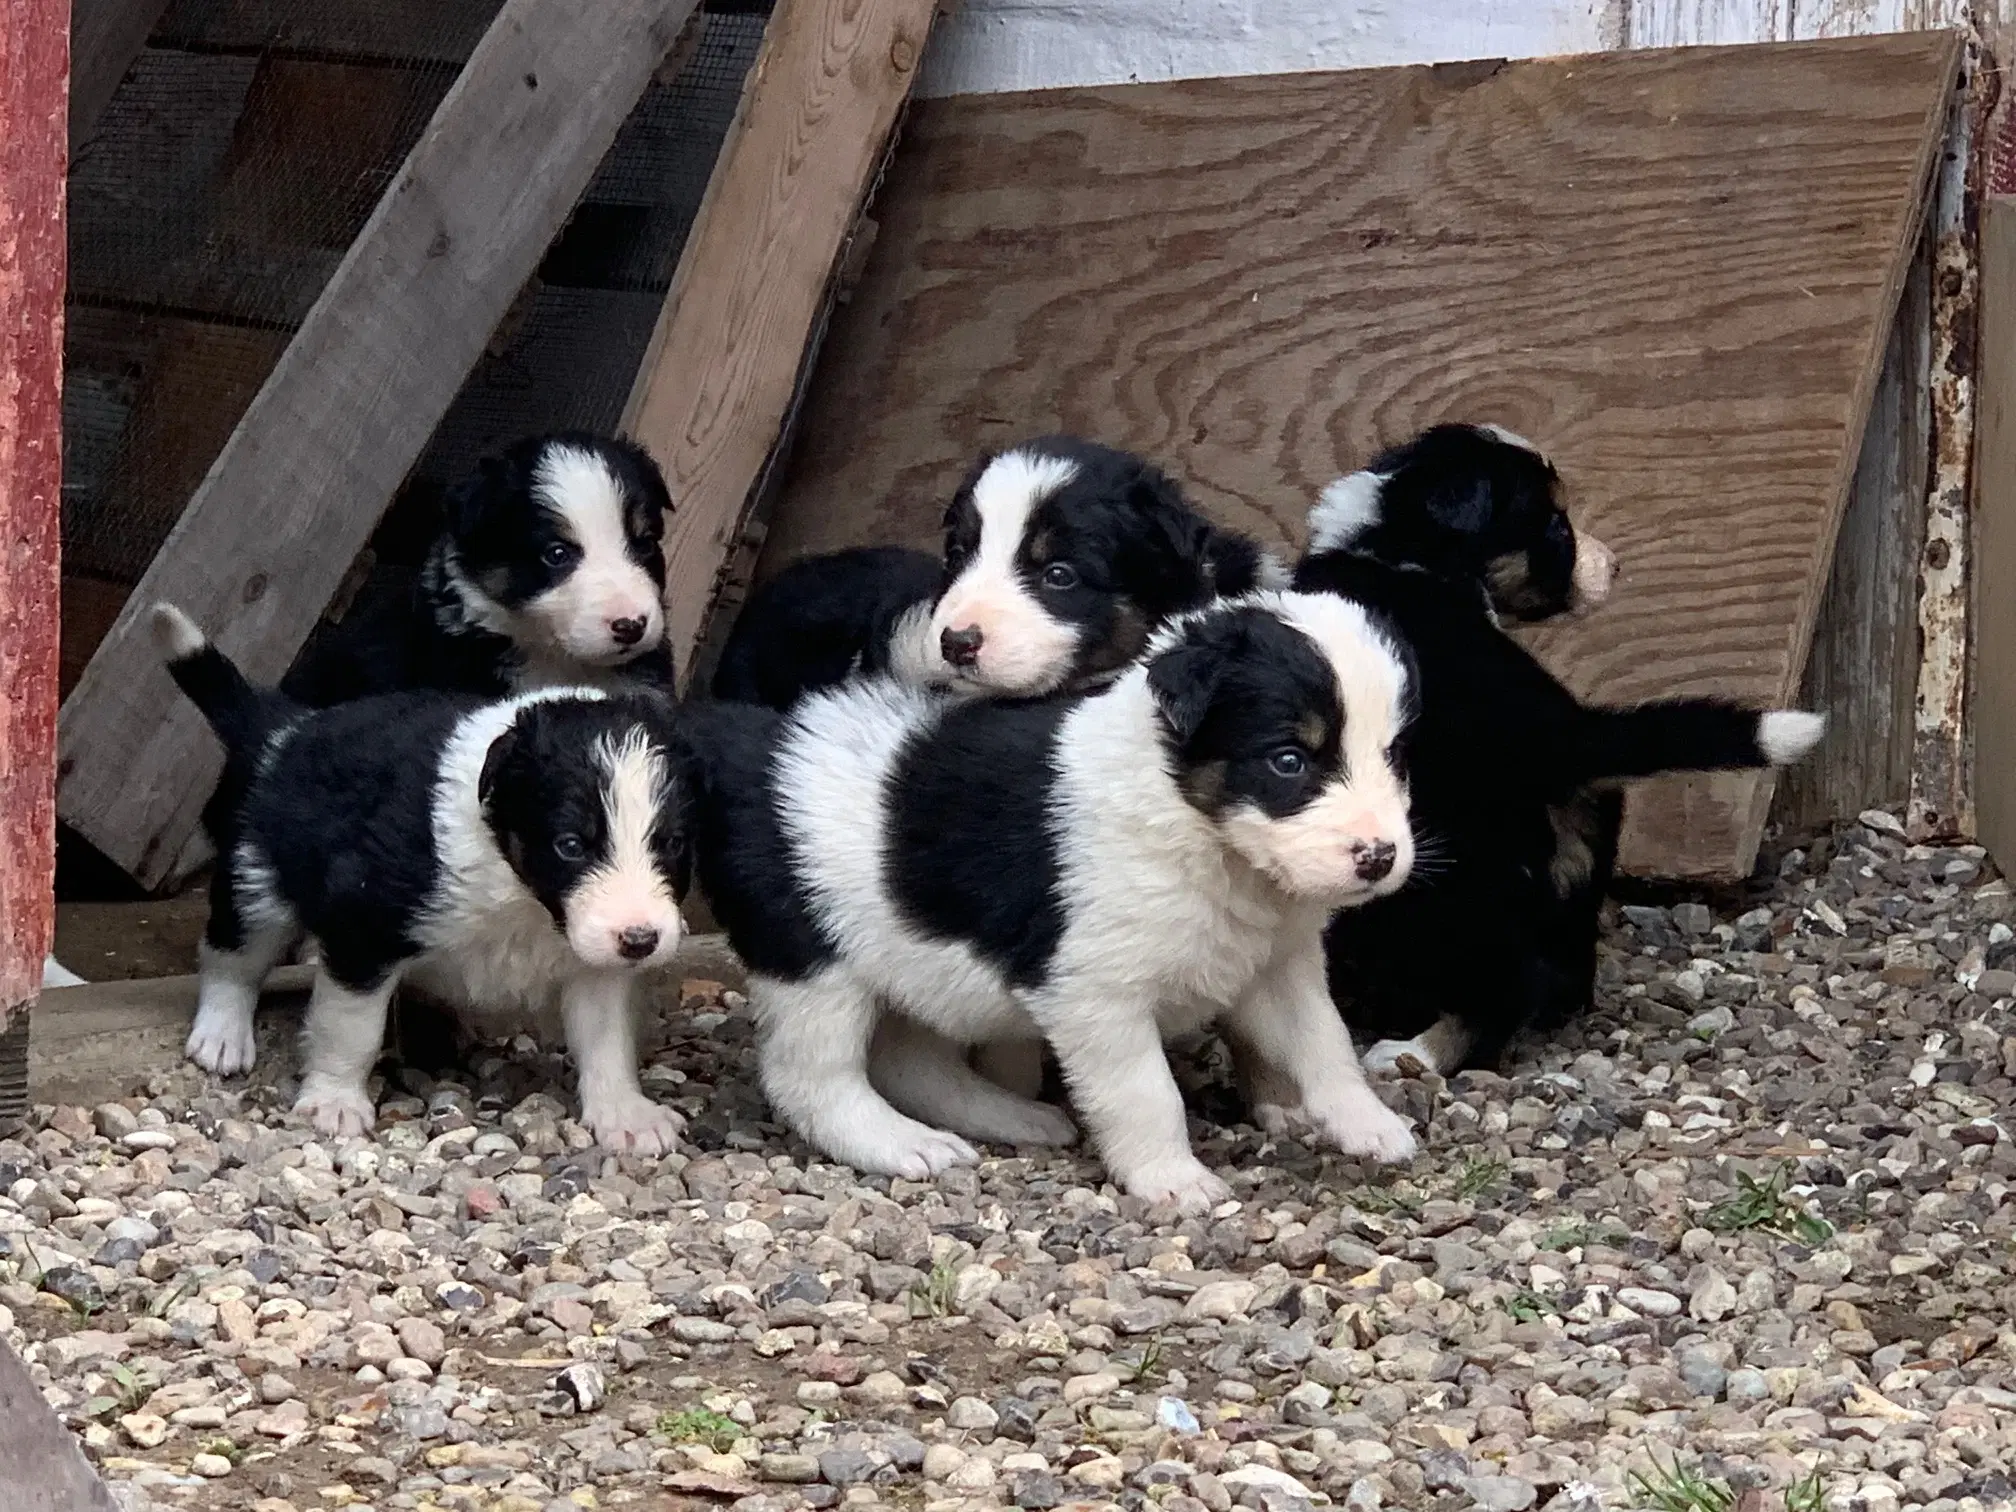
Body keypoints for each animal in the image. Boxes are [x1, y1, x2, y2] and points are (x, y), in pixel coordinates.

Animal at [155, 604, 693, 1145]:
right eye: (570, 846)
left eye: (672, 845)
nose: (641, 941)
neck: (522, 892)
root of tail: (285, 730)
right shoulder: (364, 927)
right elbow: (350, 1028)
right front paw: (335, 1101)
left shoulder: (597, 964)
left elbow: (606, 1038)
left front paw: (625, 1114)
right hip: (256, 876)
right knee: (234, 957)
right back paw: (222, 1034)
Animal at [685, 592, 1427, 1217]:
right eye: (1288, 761)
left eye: (1395, 757)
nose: (1380, 858)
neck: (1204, 833)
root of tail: (757, 744)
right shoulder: (1097, 995)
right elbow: (1146, 1092)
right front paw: (1172, 1179)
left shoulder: (1279, 965)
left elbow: (1325, 1041)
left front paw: (1368, 1124)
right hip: (815, 961)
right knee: (810, 1076)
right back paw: (901, 1144)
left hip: (913, 958)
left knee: (911, 1061)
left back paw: (1010, 1117)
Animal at [1290, 429, 1830, 1080]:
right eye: (1555, 525)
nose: (1617, 566)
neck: (1397, 544)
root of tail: (1558, 732)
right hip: (1576, 838)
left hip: (1456, 869)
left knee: (1491, 986)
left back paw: (1415, 1053)